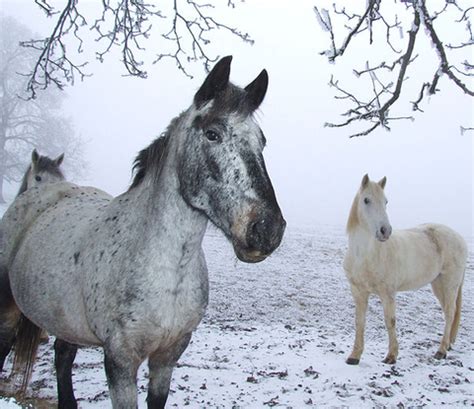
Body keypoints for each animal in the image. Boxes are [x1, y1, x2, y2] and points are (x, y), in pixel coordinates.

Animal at [0, 55, 286, 406]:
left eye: (262, 141)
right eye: (212, 134)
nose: (268, 228)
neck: (166, 271)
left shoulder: (167, 357)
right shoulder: (120, 362)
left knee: (63, 357)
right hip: (7, 309)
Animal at [342, 174, 468, 364]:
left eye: (386, 201)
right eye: (366, 200)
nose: (385, 231)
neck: (364, 255)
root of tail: (460, 238)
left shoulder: (387, 293)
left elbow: (390, 321)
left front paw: (391, 355)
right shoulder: (358, 292)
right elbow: (359, 322)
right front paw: (354, 356)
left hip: (450, 284)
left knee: (449, 313)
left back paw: (441, 351)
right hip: (438, 284)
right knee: (448, 312)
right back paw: (447, 346)